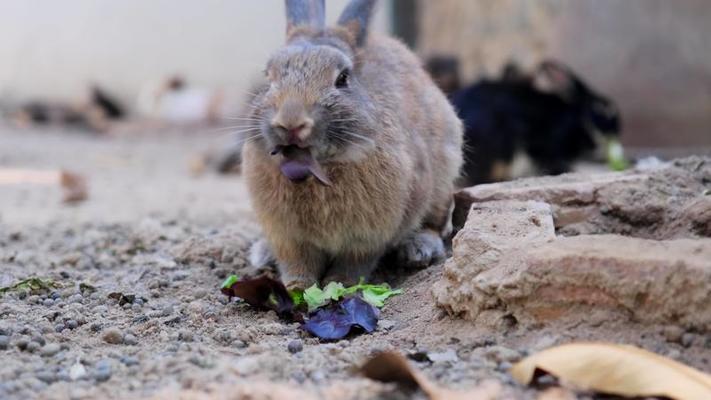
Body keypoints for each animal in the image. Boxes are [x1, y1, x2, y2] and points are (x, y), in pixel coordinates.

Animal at [241, 0, 462, 290]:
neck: (318, 169)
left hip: (443, 177)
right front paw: (298, 288)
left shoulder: (368, 237)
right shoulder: (288, 237)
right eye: (268, 78)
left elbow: (355, 262)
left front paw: (340, 284)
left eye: (343, 78)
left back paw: (418, 250)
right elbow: (297, 263)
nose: (291, 123)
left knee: (435, 222)